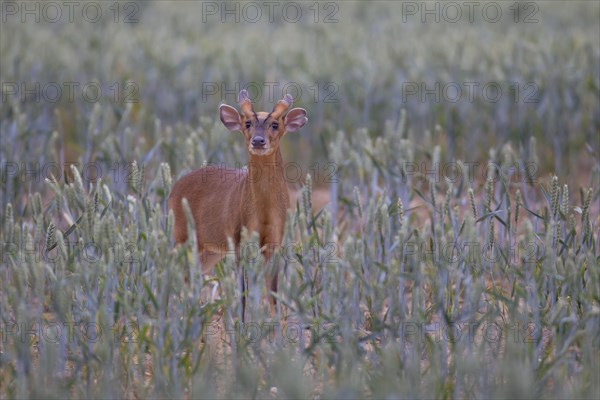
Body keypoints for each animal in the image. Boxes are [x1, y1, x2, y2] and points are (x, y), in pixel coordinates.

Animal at [169, 89, 310, 310]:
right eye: (248, 123)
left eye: (275, 124)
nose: (258, 141)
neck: (263, 213)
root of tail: (173, 189)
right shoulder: (238, 238)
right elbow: (242, 292)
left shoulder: (275, 241)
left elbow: (273, 293)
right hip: (182, 236)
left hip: (209, 250)